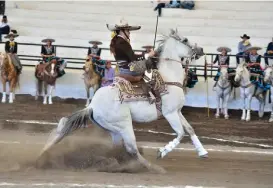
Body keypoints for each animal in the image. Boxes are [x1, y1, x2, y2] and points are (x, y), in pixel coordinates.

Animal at [37, 29, 207, 172]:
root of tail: (93, 106)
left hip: (114, 129)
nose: (201, 50)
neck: (168, 79)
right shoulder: (169, 113)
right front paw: (162, 151)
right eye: (185, 40)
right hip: (124, 126)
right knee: (132, 149)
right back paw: (152, 167)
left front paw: (203, 152)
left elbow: (190, 129)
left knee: (118, 147)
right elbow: (180, 133)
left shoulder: (177, 111)